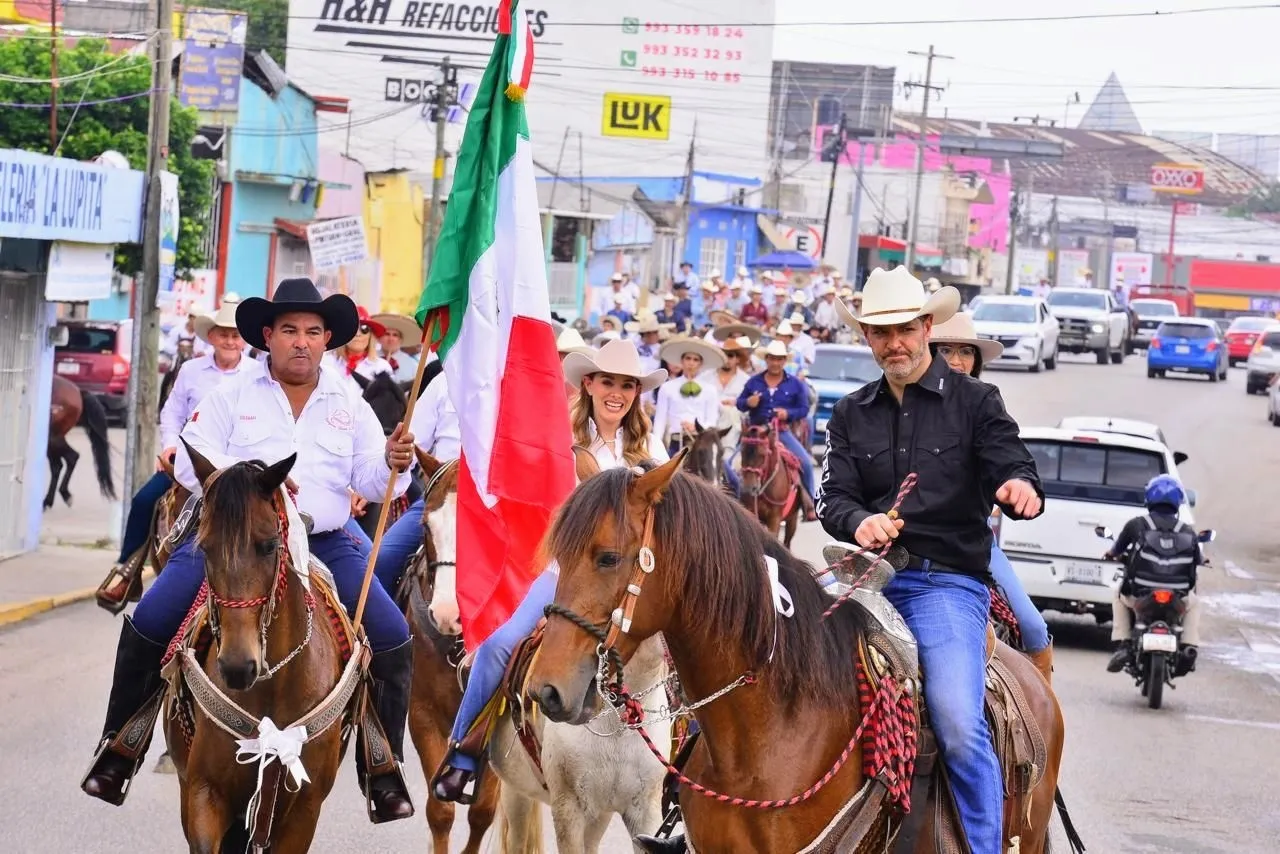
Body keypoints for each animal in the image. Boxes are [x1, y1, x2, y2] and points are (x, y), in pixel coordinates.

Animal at [46, 376, 115, 512]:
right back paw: (50, 501)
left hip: (53, 438)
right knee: (58, 465)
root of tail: (78, 391)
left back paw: (61, 496)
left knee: (71, 458)